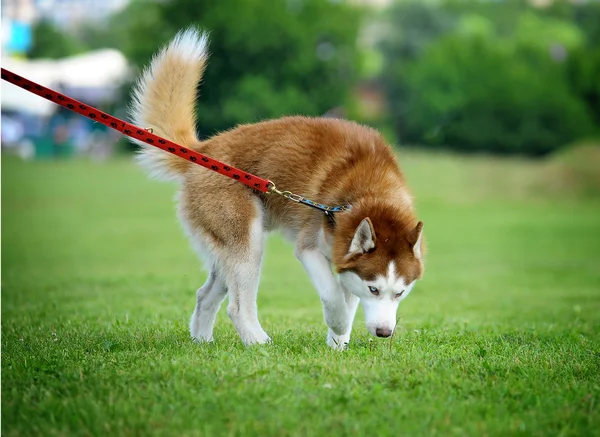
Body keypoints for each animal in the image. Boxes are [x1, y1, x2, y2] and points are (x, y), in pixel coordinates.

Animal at [129, 28, 424, 348]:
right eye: (374, 289)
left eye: (400, 292)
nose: (384, 332)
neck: (369, 193)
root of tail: (204, 151)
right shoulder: (310, 249)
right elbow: (333, 295)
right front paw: (339, 323)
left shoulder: (344, 259)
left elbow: (346, 294)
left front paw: (338, 343)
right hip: (248, 241)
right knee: (237, 307)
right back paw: (258, 343)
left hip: (227, 249)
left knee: (205, 295)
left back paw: (203, 343)